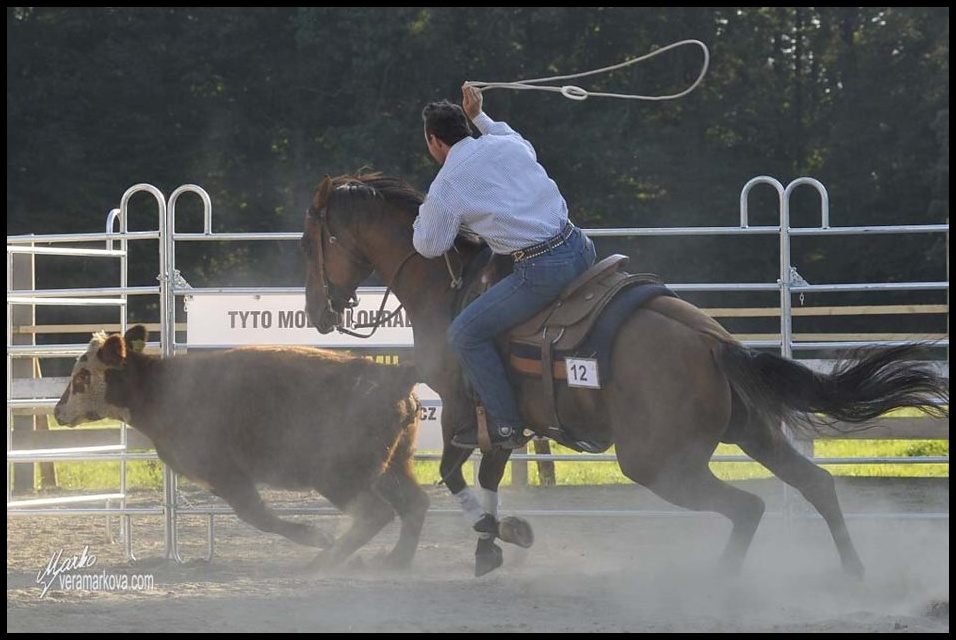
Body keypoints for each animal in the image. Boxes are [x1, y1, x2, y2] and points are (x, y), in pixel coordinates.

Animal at [56, 324, 430, 568]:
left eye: (82, 376)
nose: (58, 411)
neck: (160, 389)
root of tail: (392, 377)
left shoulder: (226, 473)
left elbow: (257, 515)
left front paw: (314, 535)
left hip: (339, 473)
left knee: (375, 512)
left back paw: (326, 558)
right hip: (393, 466)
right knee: (414, 503)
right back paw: (395, 560)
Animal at [300, 170, 948, 580]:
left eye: (310, 243)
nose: (318, 312)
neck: (447, 287)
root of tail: (713, 344)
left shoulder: (466, 409)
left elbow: (457, 476)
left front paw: (502, 535)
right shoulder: (501, 421)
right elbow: (486, 474)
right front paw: (493, 546)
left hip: (657, 463)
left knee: (748, 508)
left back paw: (722, 581)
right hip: (752, 432)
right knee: (818, 485)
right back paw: (853, 570)